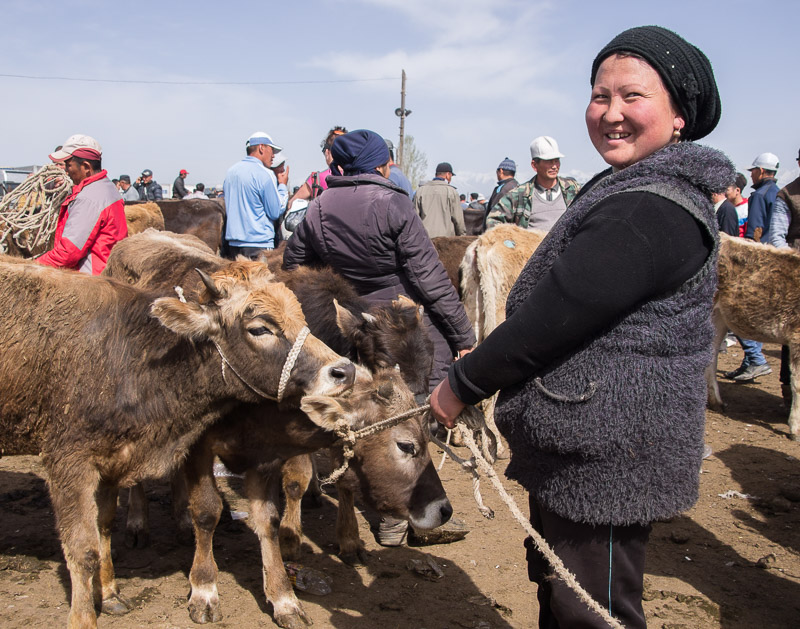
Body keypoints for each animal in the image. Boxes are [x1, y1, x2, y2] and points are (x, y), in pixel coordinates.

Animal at [0, 256, 356, 628]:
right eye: (260, 328)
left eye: (301, 317)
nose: (344, 371)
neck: (130, 357)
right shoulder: (70, 463)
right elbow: (85, 549)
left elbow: (267, 520)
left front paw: (284, 599)